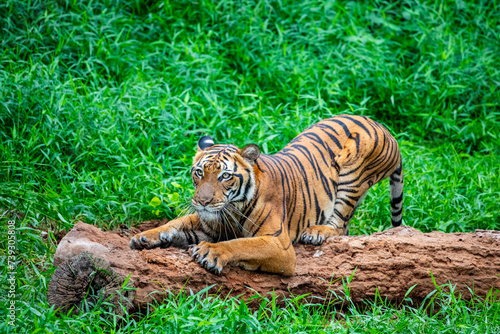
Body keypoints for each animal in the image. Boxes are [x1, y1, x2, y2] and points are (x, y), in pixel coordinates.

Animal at [129, 115, 402, 276]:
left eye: (224, 176)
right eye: (199, 173)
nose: (203, 202)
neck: (232, 208)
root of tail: (384, 127)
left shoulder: (279, 244)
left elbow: (242, 244)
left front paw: (211, 253)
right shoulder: (208, 223)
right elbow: (175, 223)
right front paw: (145, 236)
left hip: (352, 175)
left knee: (340, 224)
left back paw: (316, 232)